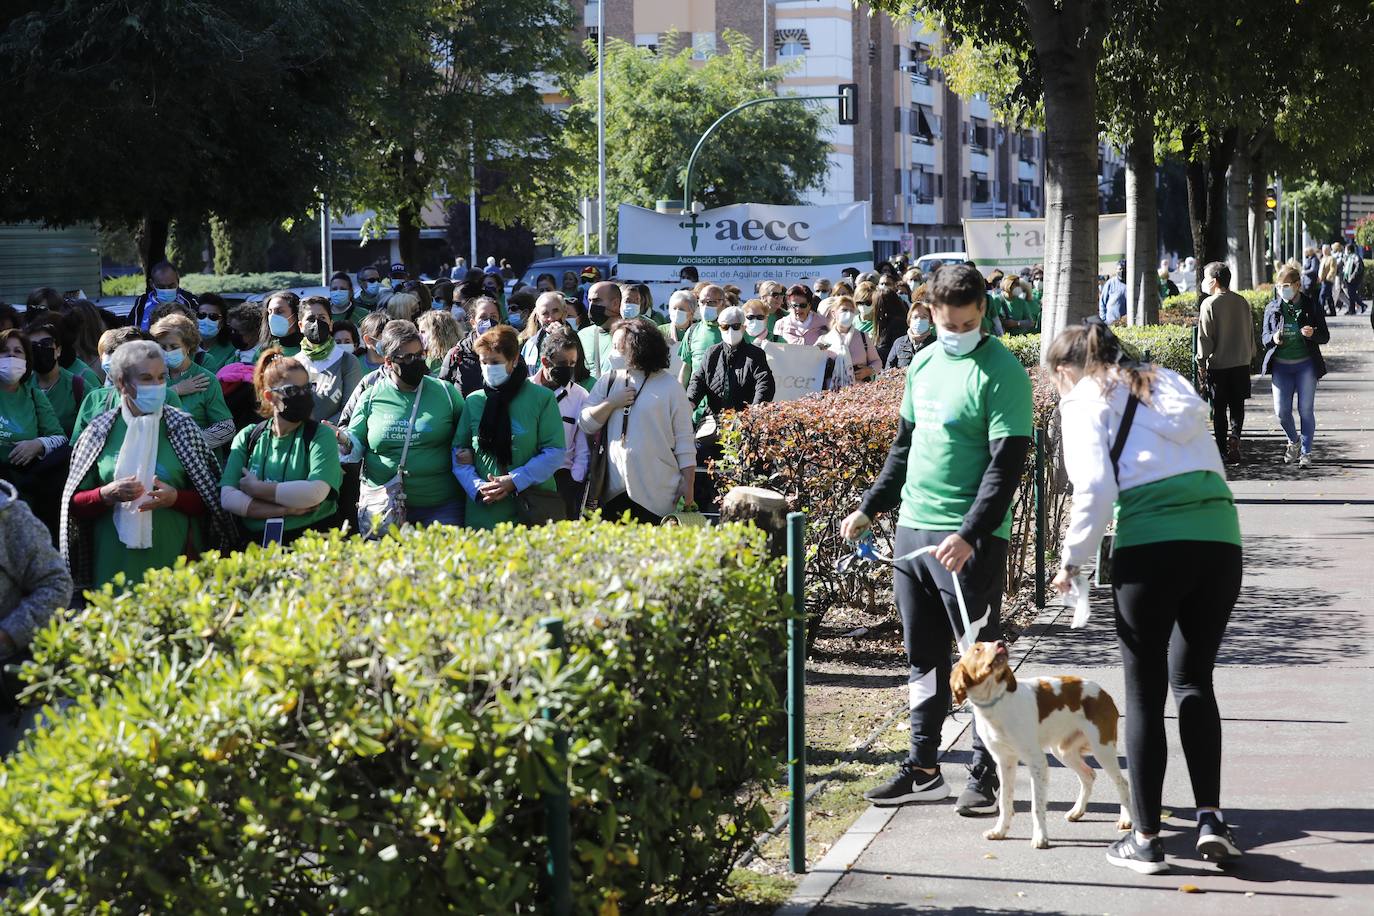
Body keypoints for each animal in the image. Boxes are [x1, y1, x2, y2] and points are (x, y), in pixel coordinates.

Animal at [950, 642, 1132, 851]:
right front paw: (1000, 831)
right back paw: (1077, 811)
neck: (996, 702)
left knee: (1122, 782)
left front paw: (1041, 837)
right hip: (1063, 752)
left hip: (1102, 748)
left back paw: (1126, 819)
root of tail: (1103, 693)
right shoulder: (1004, 761)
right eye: (978, 649)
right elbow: (1005, 801)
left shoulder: (1036, 761)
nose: (1001, 643)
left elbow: (1036, 805)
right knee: (1089, 775)